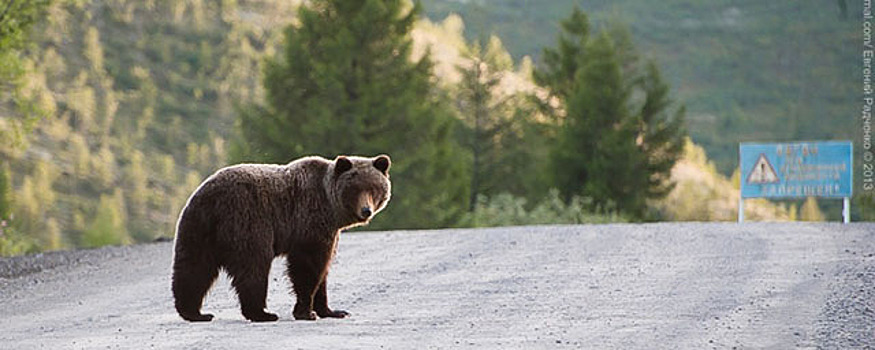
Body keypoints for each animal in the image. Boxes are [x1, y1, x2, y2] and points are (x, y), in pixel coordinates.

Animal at [171, 154, 390, 322]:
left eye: (374, 188)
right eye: (355, 189)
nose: (366, 210)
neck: (332, 208)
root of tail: (211, 197)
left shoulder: (330, 232)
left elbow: (323, 270)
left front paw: (333, 311)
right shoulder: (309, 220)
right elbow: (308, 266)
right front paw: (306, 312)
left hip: (197, 228)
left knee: (194, 268)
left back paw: (194, 313)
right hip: (246, 221)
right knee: (254, 266)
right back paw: (262, 313)